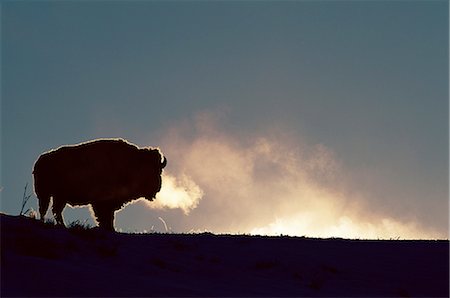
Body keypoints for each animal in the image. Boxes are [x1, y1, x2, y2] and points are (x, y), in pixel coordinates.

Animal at [33, 139, 167, 232]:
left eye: (159, 170)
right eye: (148, 170)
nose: (156, 187)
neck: (130, 164)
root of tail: (41, 160)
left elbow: (109, 217)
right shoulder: (101, 203)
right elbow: (105, 217)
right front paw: (109, 229)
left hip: (59, 197)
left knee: (55, 210)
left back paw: (62, 225)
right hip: (46, 194)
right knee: (46, 209)